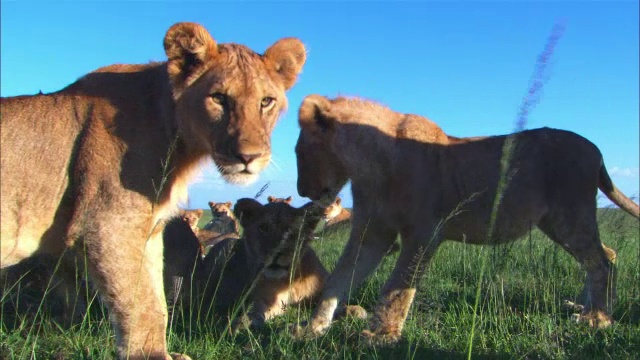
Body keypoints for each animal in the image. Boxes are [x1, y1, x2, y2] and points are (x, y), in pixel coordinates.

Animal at [0, 21, 304, 358]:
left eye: (266, 101)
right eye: (219, 98)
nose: (248, 157)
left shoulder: (150, 230)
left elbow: (156, 304)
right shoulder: (110, 223)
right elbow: (140, 304)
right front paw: (153, 355)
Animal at [292, 94, 636, 344]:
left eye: (298, 152)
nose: (300, 190)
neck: (366, 168)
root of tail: (596, 150)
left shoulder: (424, 233)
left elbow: (397, 287)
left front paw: (382, 335)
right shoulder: (372, 232)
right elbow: (339, 279)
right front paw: (313, 328)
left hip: (569, 217)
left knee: (601, 262)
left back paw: (597, 319)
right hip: (558, 222)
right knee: (607, 255)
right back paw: (586, 308)